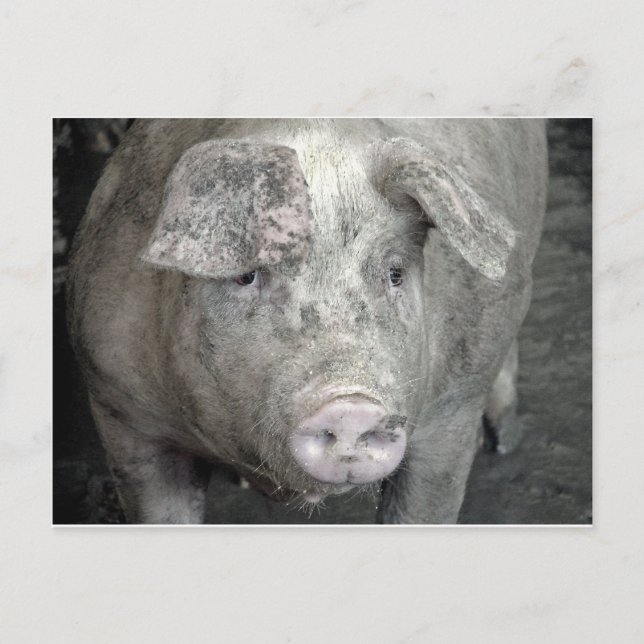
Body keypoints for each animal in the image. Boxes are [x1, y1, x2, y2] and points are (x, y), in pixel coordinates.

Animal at [66, 118, 548, 524]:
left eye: (395, 273)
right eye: (247, 274)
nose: (351, 404)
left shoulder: (451, 414)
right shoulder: (123, 413)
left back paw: (502, 438)